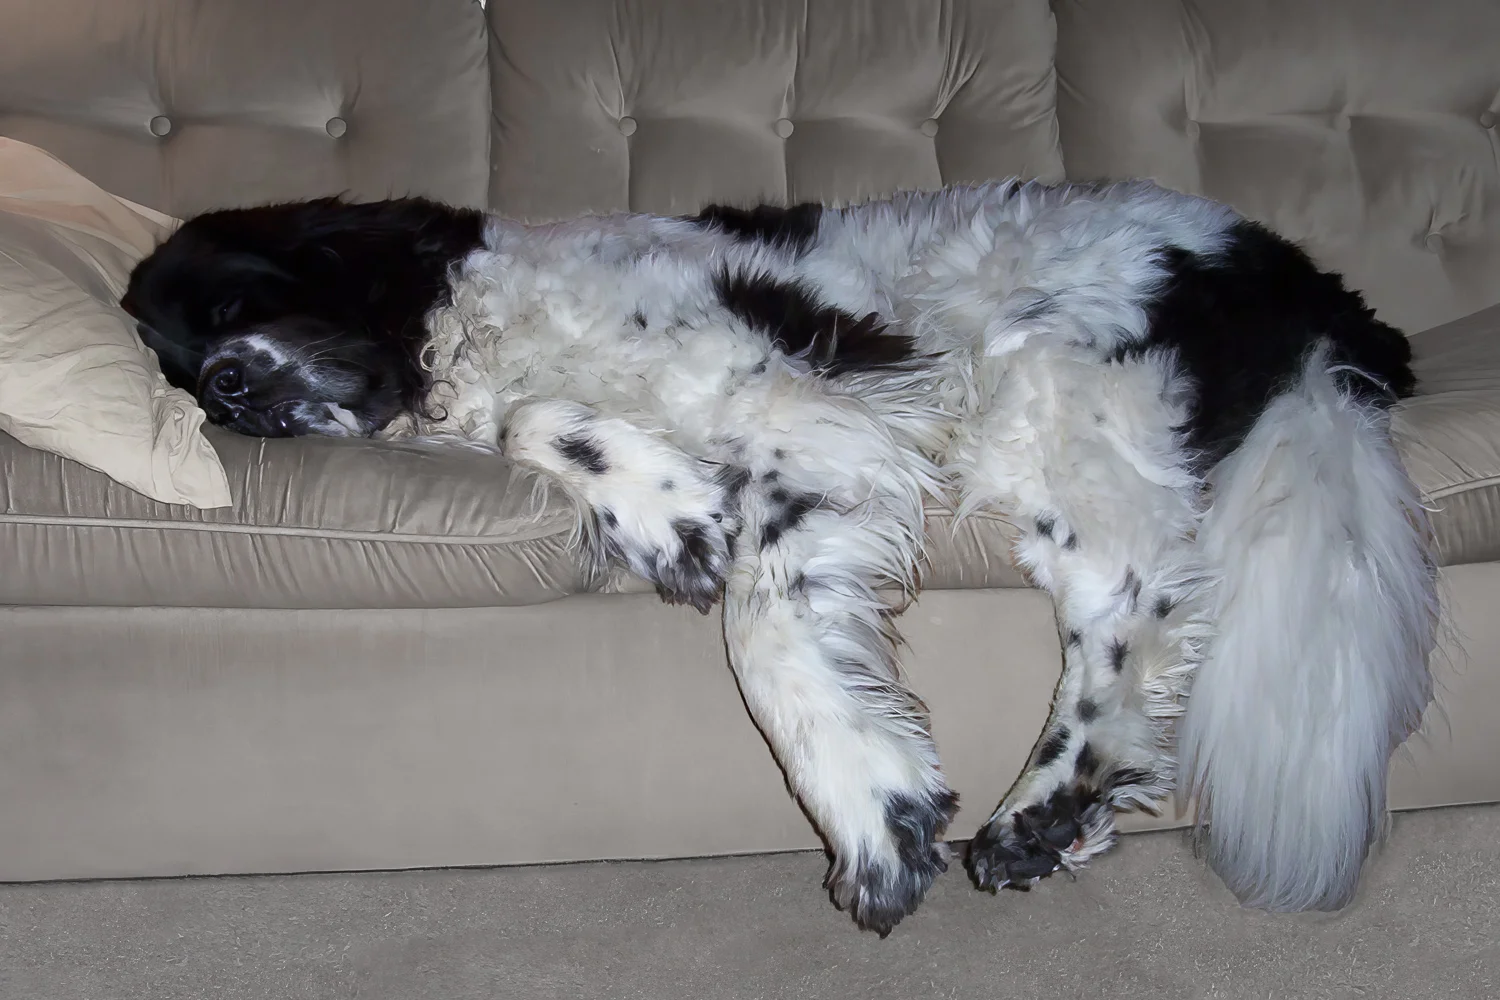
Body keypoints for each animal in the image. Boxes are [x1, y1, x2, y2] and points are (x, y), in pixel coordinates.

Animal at [121, 179, 1437, 935]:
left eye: (234, 301)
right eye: (173, 374)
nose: (230, 386)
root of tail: (1319, 291)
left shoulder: (815, 402)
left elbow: (763, 626)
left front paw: (867, 801)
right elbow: (539, 427)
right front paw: (669, 517)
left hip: (1060, 387)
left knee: (1140, 604)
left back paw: (1041, 808)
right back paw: (1070, 822)